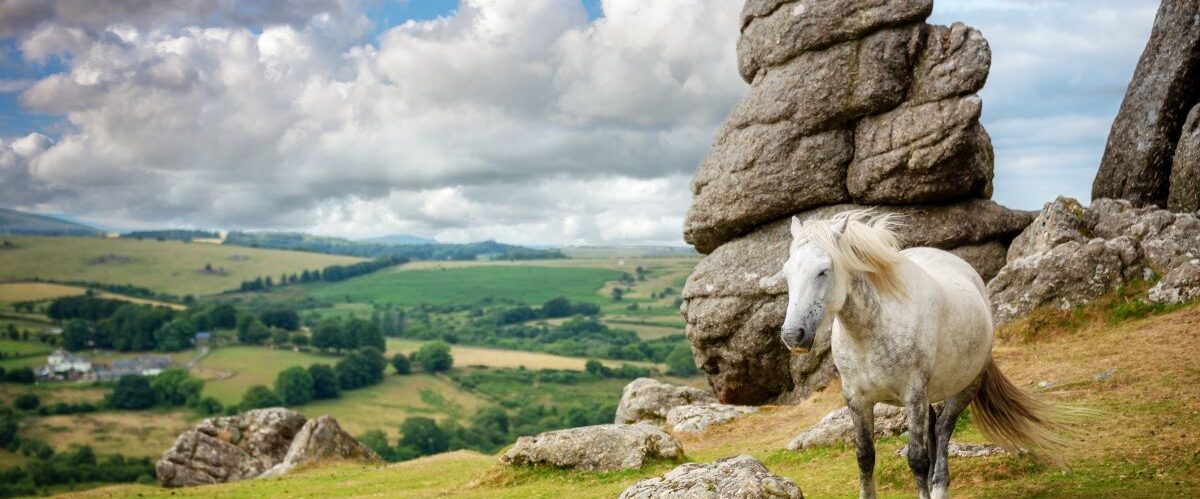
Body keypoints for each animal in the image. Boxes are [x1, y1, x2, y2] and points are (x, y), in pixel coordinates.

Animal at [775, 211, 1074, 499]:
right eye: (787, 273)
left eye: (823, 271)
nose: (792, 335)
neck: (874, 327)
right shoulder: (856, 398)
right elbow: (865, 457)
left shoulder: (914, 393)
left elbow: (917, 459)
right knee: (933, 430)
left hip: (965, 386)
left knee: (942, 431)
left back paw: (939, 486)